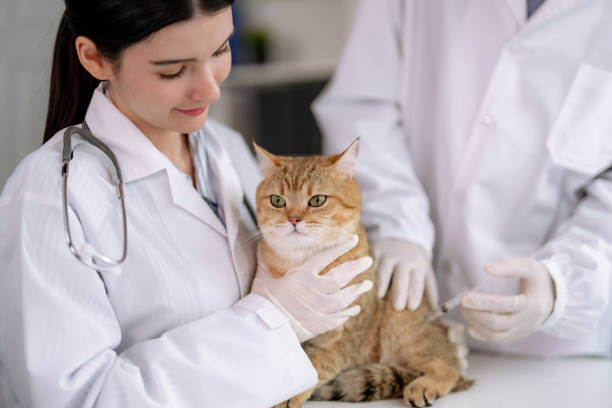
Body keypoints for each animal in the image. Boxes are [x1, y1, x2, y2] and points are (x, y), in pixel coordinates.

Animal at [253, 139, 474, 406]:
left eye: (317, 200)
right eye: (277, 200)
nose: (293, 219)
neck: (302, 262)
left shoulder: (345, 334)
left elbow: (316, 365)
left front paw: (290, 395)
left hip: (401, 326)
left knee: (448, 362)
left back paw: (426, 384)